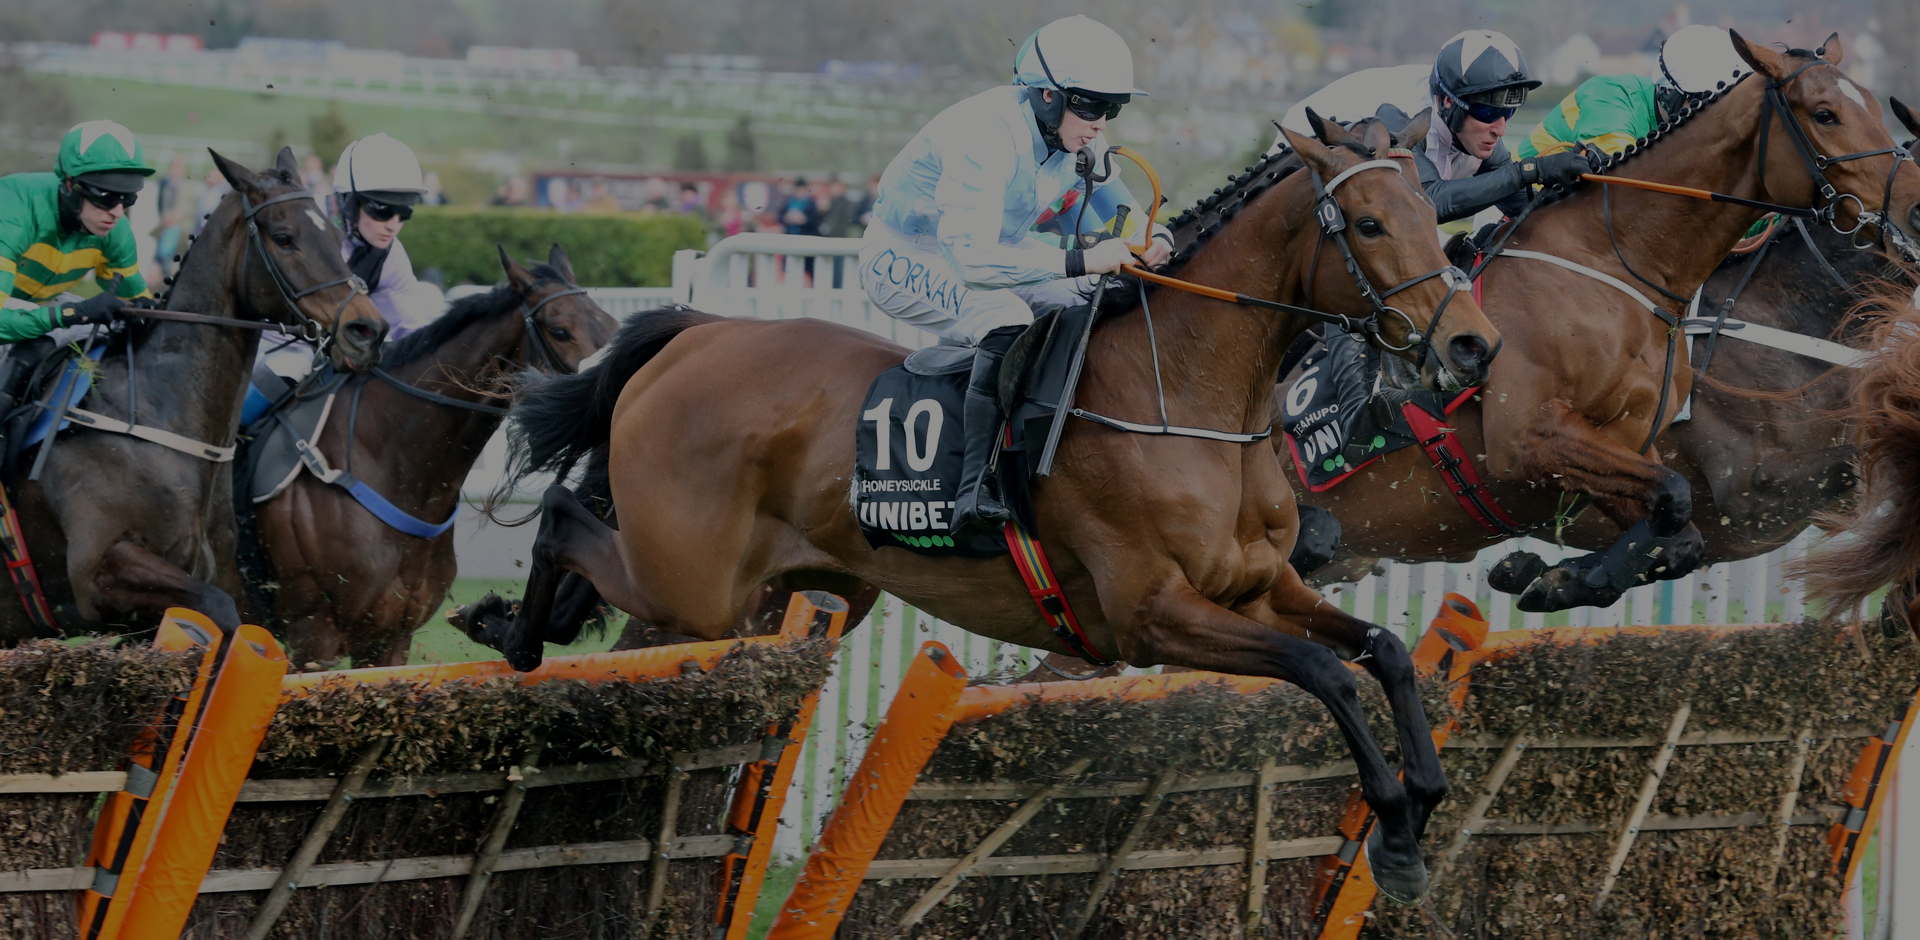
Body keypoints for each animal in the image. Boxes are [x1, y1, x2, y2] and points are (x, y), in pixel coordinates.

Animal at [0, 148, 385, 644]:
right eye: (284, 238)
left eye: (338, 236)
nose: (368, 331)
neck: (155, 413)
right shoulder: (101, 570)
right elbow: (219, 613)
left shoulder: (171, 591)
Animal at [476, 117, 1497, 901]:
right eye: (1368, 222)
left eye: (1433, 213)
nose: (1473, 344)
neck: (1186, 397)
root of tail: (698, 333)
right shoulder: (1154, 615)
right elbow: (1325, 674)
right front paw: (1394, 818)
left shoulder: (1262, 589)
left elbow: (1387, 652)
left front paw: (1416, 815)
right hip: (691, 578)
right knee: (562, 517)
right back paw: (511, 632)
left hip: (782, 592)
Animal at [1274, 33, 1920, 613]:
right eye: (1826, 113)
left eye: (1871, 105)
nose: (1913, 209)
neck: (1614, 265)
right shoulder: (1539, 440)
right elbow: (1708, 495)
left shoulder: (1625, 456)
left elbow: (1678, 530)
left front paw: (1548, 576)